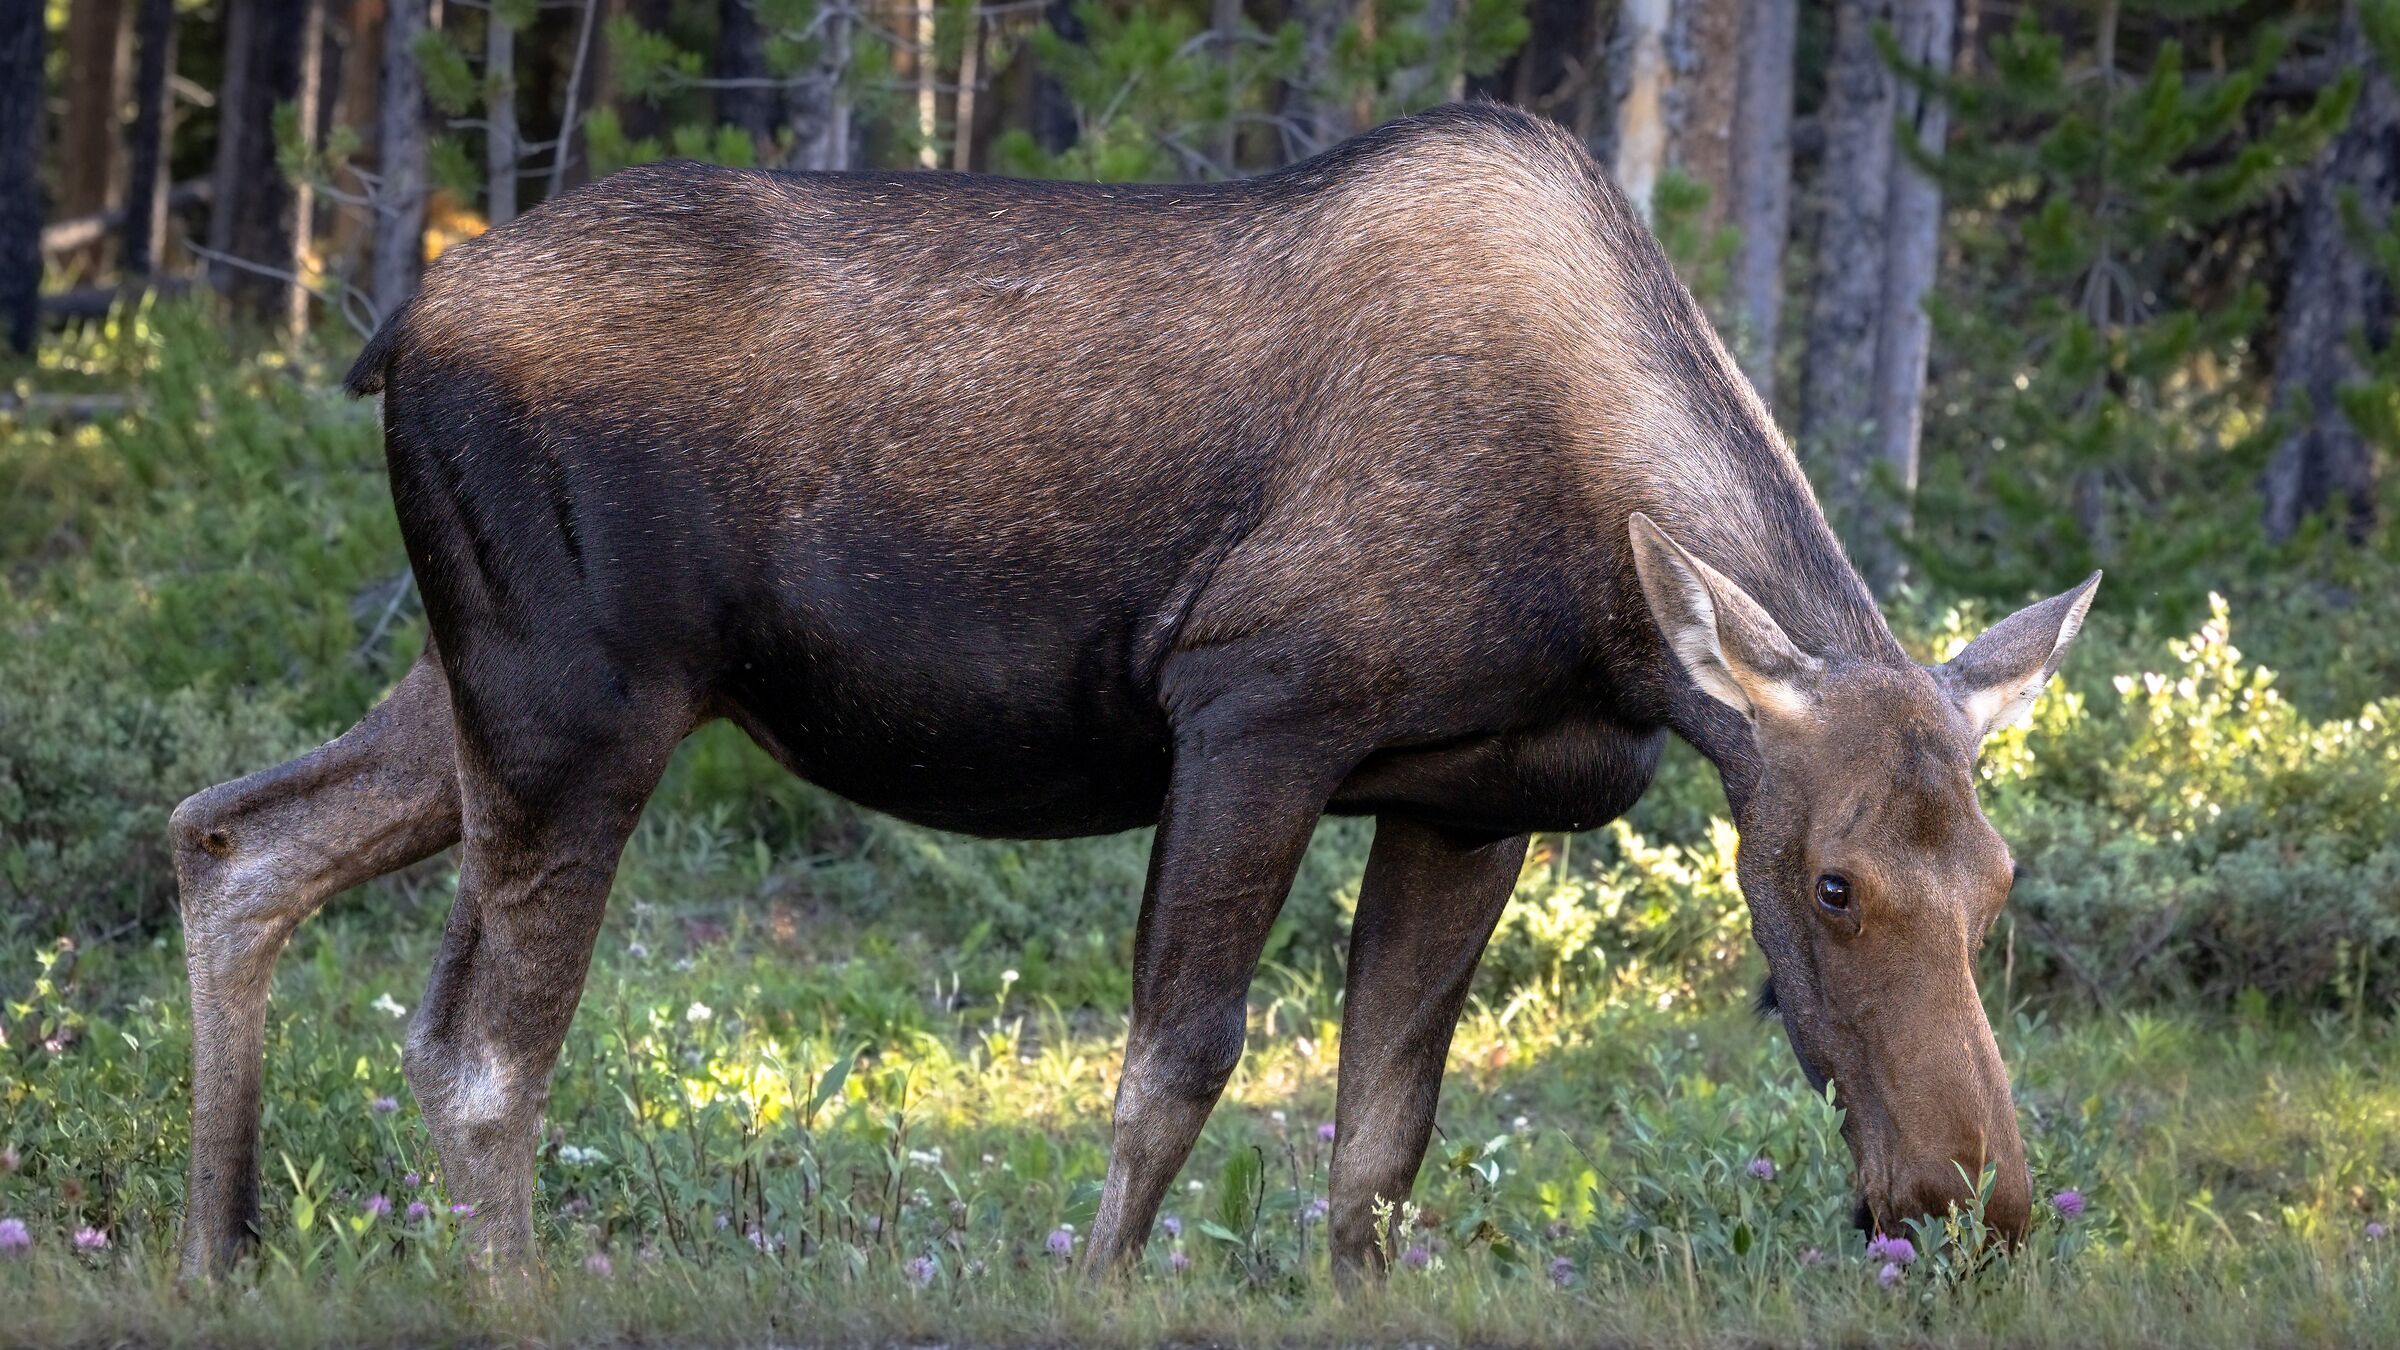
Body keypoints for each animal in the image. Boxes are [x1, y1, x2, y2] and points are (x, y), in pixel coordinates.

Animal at [172, 102, 2093, 1282]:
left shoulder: (1474, 797)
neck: (1603, 610)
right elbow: (1177, 1069)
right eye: (1829, 882)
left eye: (2002, 884)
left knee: (233, 839)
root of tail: (394, 333)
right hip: (580, 706)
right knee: (479, 1050)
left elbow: (1380, 1144)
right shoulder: (1253, 713)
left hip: (486, 690)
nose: (1975, 1199)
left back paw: (221, 1250)